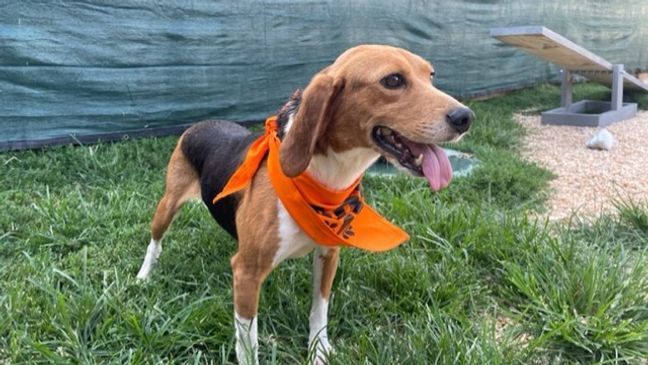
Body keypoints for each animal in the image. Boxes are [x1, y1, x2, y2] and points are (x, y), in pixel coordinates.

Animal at [134, 44, 474, 362]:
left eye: (431, 76)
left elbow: (319, 310)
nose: (465, 117)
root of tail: (200, 123)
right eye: (393, 80)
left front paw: (318, 350)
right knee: (155, 242)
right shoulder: (246, 274)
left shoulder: (328, 254)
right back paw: (144, 277)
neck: (326, 177)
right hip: (167, 205)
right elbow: (248, 343)